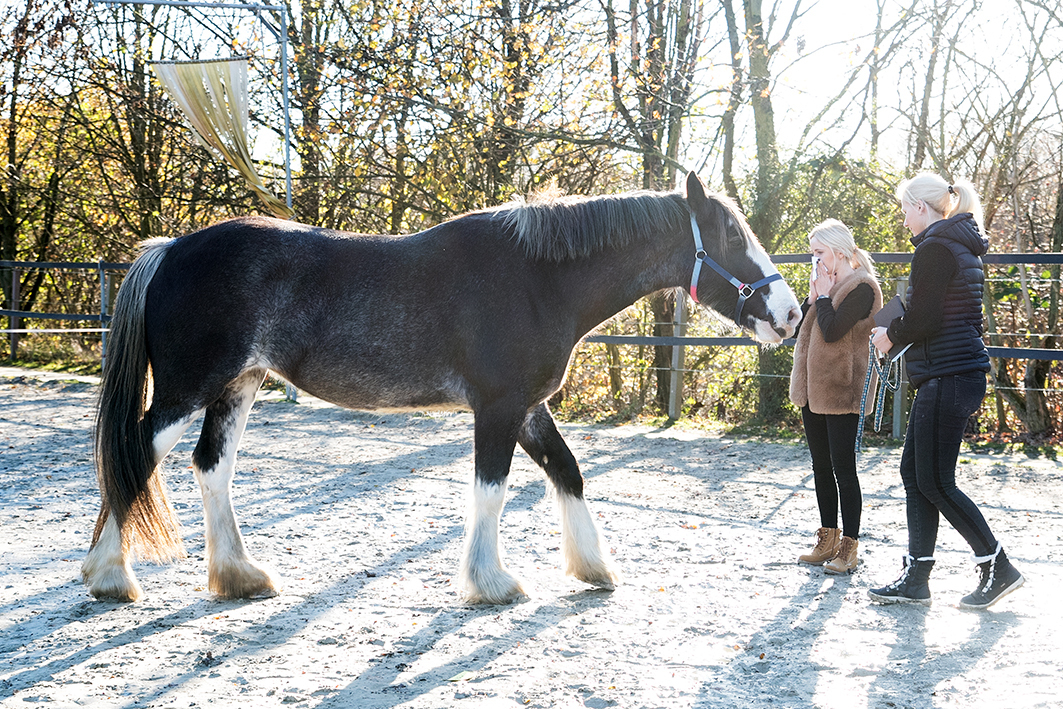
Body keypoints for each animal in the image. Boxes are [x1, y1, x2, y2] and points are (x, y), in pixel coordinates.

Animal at [82, 172, 799, 603]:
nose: (790, 313)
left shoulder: (528, 406)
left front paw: (593, 566)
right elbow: (492, 489)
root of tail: (170, 249)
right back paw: (109, 575)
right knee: (136, 453)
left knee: (212, 467)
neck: (538, 278)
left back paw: (239, 575)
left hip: (240, 385)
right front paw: (492, 581)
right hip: (186, 391)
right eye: (731, 235)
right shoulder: (499, 408)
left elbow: (567, 472)